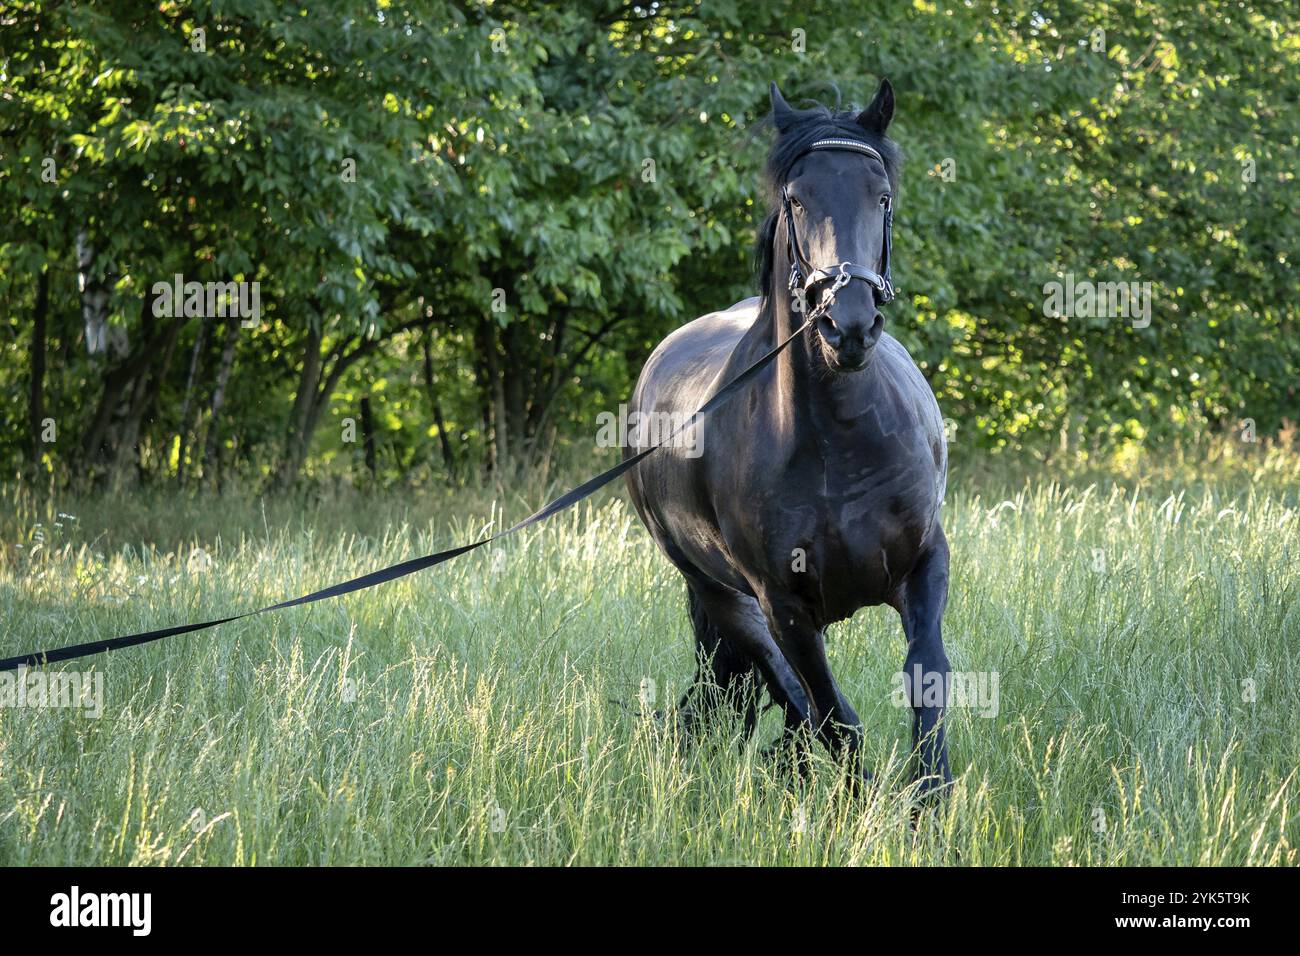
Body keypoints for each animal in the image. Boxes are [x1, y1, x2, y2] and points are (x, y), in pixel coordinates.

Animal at [624, 80, 952, 797]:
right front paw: (868, 806)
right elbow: (832, 714)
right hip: (723, 597)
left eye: (881, 196)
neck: (840, 443)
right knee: (789, 692)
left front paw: (932, 797)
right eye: (796, 200)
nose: (847, 326)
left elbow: (927, 678)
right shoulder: (783, 607)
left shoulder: (924, 566)